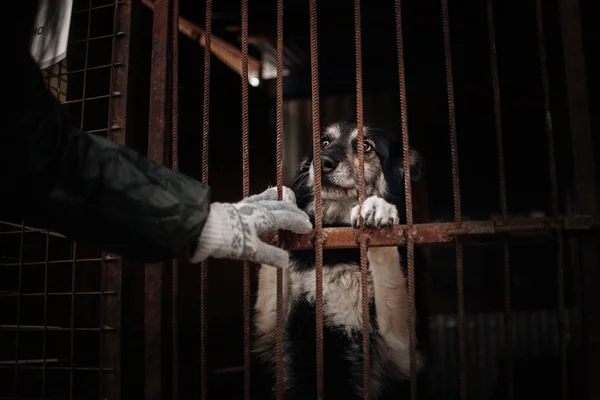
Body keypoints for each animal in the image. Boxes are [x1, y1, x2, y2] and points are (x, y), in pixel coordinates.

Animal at [253, 122, 432, 400]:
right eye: (324, 142)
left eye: (366, 146)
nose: (322, 162)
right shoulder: (268, 329)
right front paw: (277, 204)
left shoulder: (402, 352)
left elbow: (388, 271)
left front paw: (379, 209)